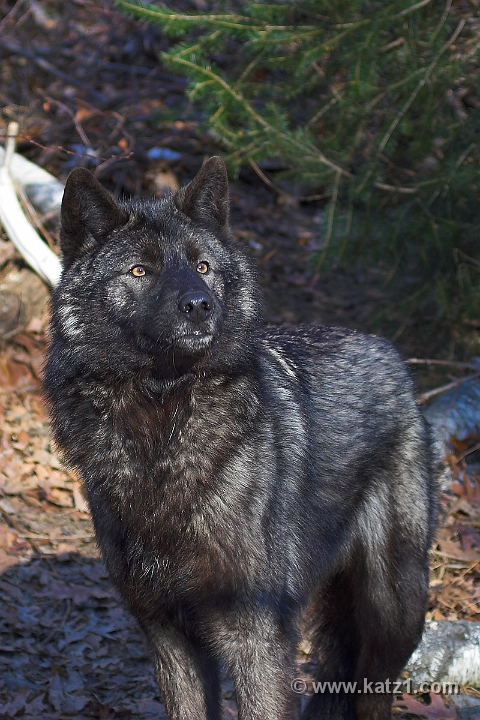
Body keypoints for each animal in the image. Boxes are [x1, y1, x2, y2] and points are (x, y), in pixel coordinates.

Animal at [44, 157, 437, 720]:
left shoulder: (256, 633)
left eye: (204, 266)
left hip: (394, 610)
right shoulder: (168, 633)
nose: (199, 305)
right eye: (140, 271)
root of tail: (389, 351)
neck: (162, 432)